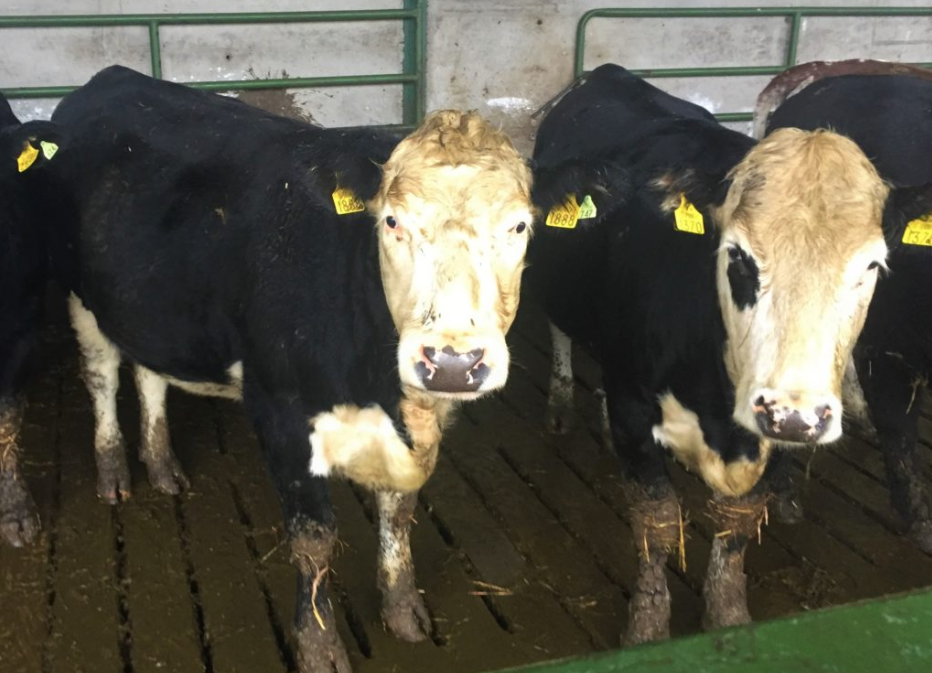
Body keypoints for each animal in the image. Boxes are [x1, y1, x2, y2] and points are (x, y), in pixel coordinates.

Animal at [47, 65, 548, 673]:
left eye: (519, 227)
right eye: (392, 222)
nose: (454, 362)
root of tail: (112, 77)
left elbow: (398, 511)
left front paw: (403, 610)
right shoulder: (280, 409)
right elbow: (314, 539)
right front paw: (318, 645)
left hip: (153, 307)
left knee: (149, 374)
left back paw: (162, 464)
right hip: (81, 295)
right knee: (101, 374)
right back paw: (114, 471)